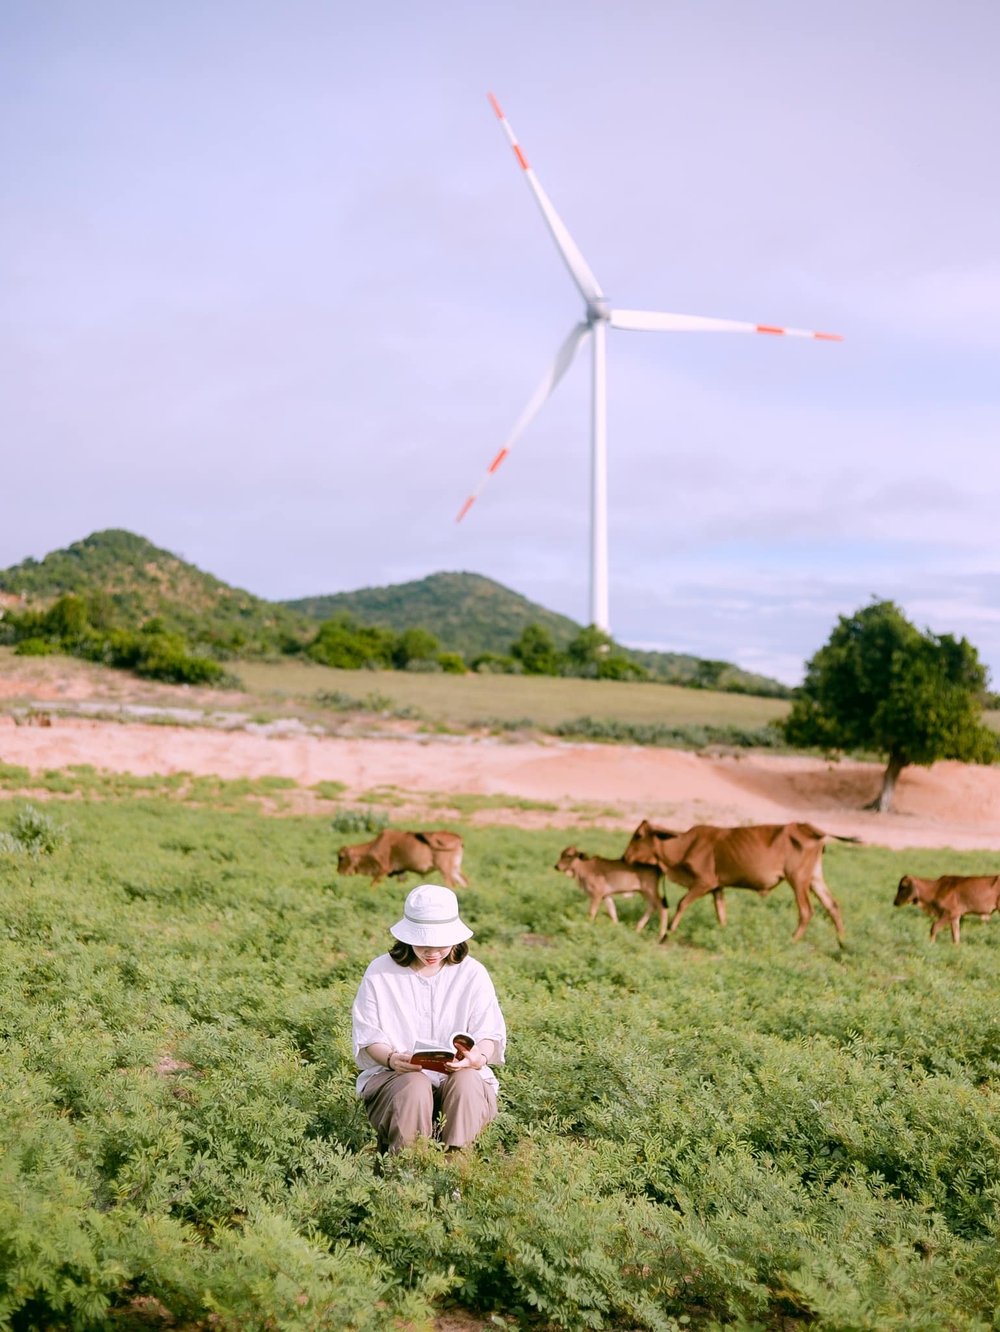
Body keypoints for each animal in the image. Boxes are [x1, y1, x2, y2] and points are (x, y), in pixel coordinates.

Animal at [332, 825, 466, 889]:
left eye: (341, 857)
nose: (338, 871)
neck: (375, 845)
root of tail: (457, 837)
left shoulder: (383, 870)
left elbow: (372, 885)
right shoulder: (401, 873)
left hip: (445, 869)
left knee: (451, 884)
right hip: (455, 869)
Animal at [625, 815, 852, 943]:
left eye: (638, 835)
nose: (624, 857)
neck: (684, 846)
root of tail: (808, 828)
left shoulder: (704, 882)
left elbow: (682, 903)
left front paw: (667, 934)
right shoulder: (717, 887)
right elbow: (721, 912)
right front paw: (723, 932)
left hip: (798, 880)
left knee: (806, 911)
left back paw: (793, 941)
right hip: (814, 878)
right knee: (833, 905)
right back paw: (842, 942)